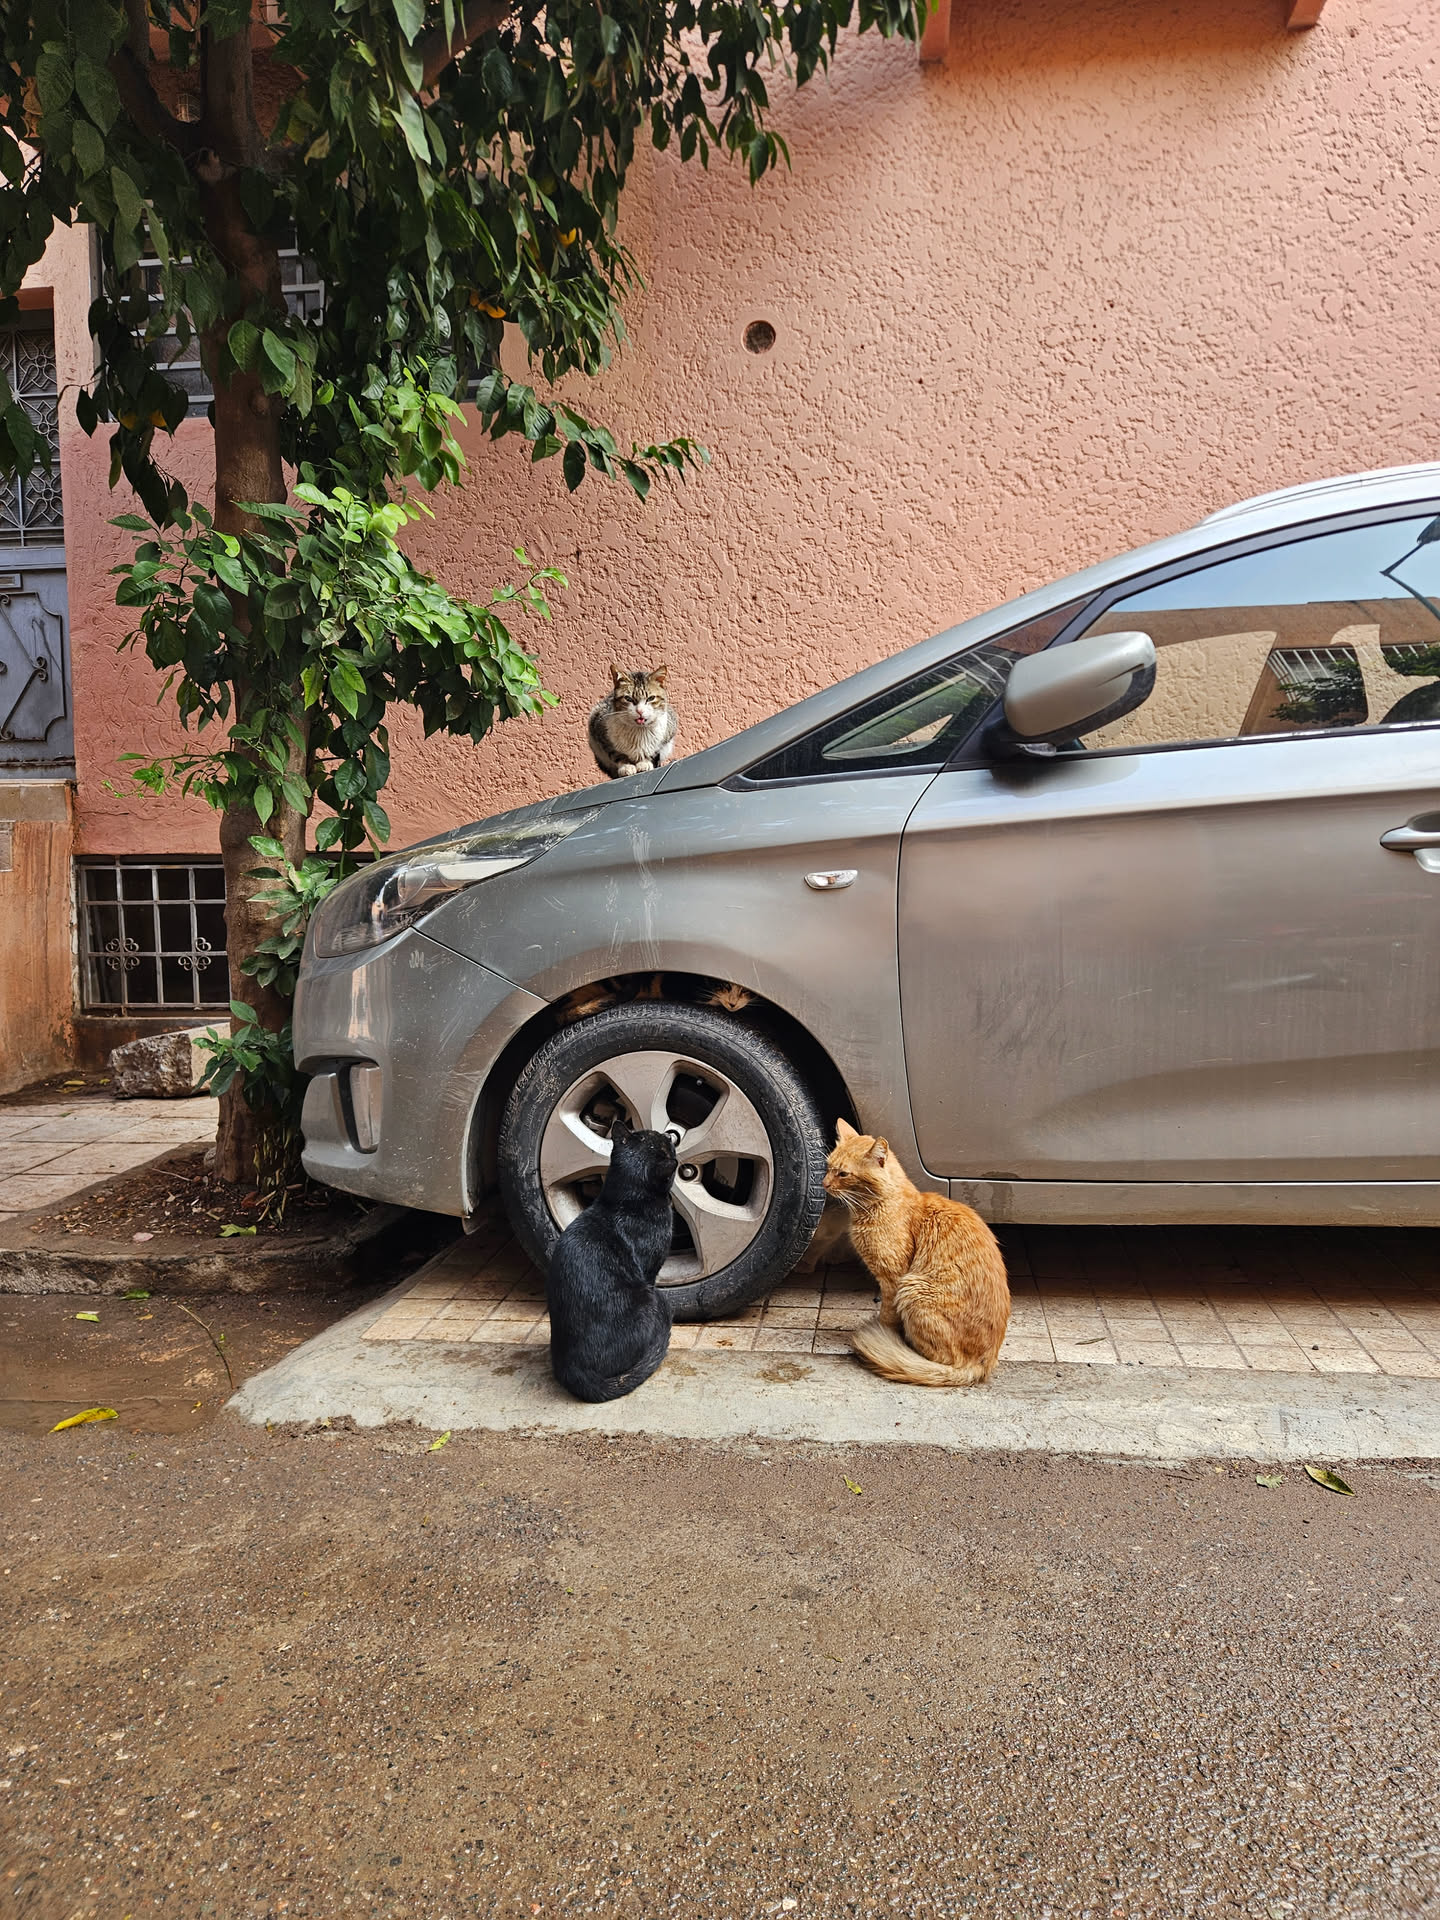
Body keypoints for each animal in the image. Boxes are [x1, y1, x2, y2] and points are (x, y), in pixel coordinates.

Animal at [545, 1123, 678, 1402]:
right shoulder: (650, 1271)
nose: (670, 1134)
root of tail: (576, 1371)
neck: (626, 1200)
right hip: (645, 1299)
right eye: (664, 1145)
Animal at [823, 1118, 1009, 1386]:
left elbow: (887, 1318)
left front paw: (884, 1334)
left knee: (938, 1358)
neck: (879, 1206)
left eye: (843, 1173)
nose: (824, 1184)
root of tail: (982, 1364)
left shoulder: (892, 1280)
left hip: (912, 1288)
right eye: (828, 1167)